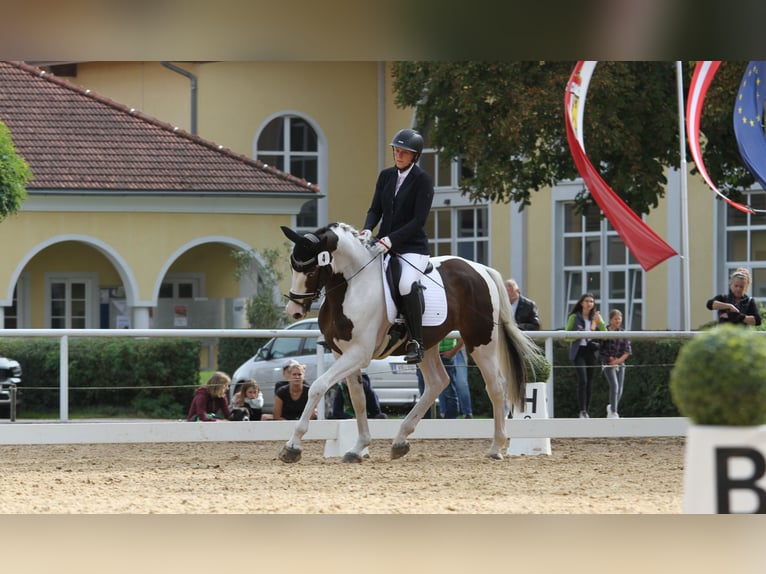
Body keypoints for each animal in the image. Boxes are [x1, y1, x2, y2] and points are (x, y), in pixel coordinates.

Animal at [278, 222, 540, 463]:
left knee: (495, 386)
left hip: (480, 340)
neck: (352, 288)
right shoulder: (340, 352)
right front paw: (358, 447)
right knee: (437, 382)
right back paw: (400, 441)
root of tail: (481, 269)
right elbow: (358, 398)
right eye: (292, 266)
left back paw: (496, 447)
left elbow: (318, 386)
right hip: (428, 344)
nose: (294, 311)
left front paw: (292, 447)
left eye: (311, 271)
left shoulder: (359, 353)